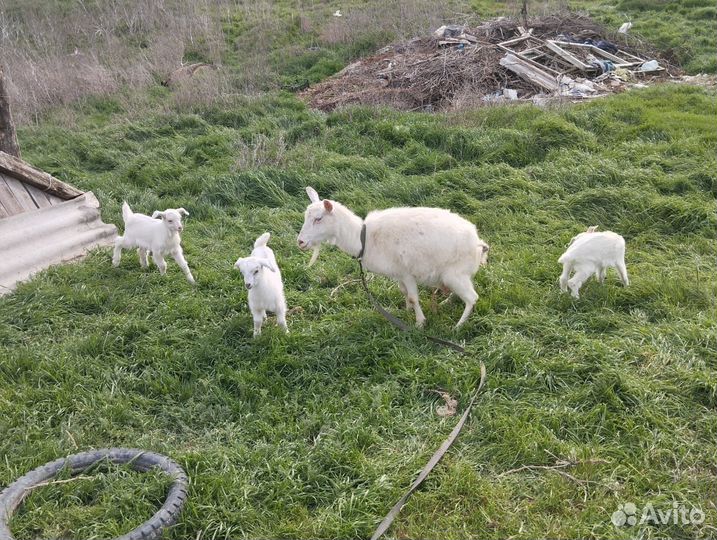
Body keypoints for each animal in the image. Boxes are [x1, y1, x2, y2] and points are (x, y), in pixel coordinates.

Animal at [297, 187, 489, 328]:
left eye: (318, 218)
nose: (300, 242)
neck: (363, 238)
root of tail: (478, 243)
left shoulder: (407, 273)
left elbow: (413, 297)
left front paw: (420, 323)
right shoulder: (398, 274)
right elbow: (404, 292)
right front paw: (407, 311)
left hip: (454, 273)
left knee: (472, 298)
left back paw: (458, 326)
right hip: (457, 275)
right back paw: (446, 303)